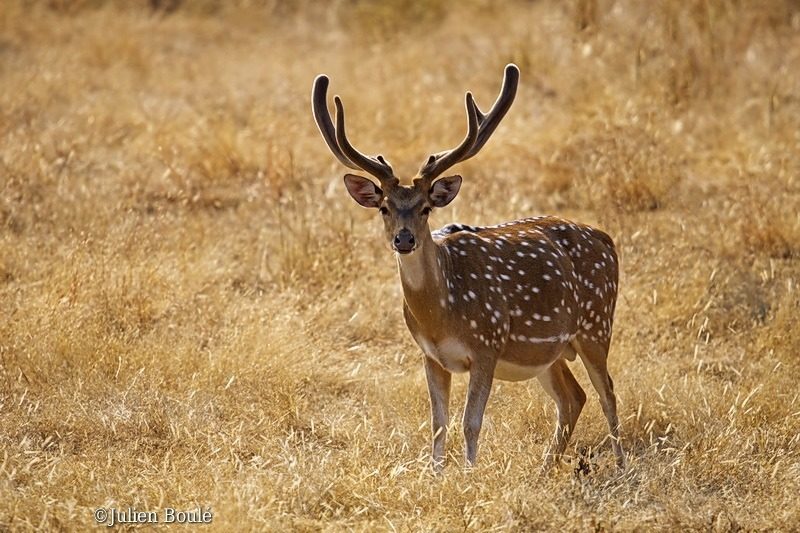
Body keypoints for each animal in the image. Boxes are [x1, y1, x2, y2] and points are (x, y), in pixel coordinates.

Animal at [311, 64, 625, 471]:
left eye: (426, 207)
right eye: (384, 207)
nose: (404, 239)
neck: (442, 313)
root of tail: (607, 239)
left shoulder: (487, 344)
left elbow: (470, 422)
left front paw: (469, 473)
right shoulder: (430, 355)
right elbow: (438, 422)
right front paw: (436, 474)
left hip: (596, 325)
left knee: (607, 392)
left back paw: (621, 467)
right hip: (550, 352)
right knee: (573, 397)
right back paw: (544, 468)